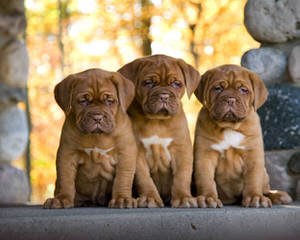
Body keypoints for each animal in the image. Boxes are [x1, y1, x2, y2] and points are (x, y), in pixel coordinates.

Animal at [42, 68, 137, 208]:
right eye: (83, 101)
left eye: (109, 101)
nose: (97, 117)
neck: (97, 136)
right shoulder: (67, 153)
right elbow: (65, 178)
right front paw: (61, 198)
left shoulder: (126, 153)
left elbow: (123, 178)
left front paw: (122, 198)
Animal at [118, 53, 200, 207]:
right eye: (149, 83)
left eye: (176, 83)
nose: (164, 96)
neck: (158, 121)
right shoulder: (137, 154)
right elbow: (144, 179)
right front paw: (149, 198)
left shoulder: (182, 151)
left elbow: (181, 177)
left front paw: (183, 198)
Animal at [192, 64, 292, 207]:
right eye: (218, 88)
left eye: (243, 90)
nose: (230, 99)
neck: (229, 127)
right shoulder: (205, 155)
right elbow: (205, 178)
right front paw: (207, 197)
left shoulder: (253, 154)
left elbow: (253, 178)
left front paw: (255, 197)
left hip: (264, 173)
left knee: (265, 189)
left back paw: (277, 195)